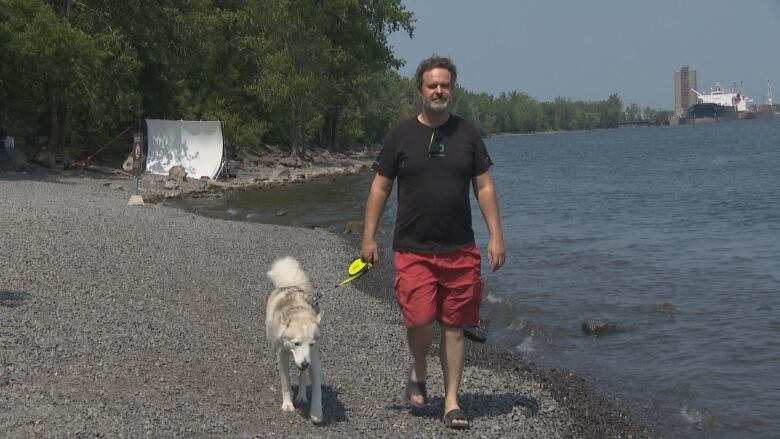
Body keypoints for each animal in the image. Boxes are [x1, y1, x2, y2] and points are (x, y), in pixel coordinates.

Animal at [264, 258, 322, 422]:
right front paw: (287, 404)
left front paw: (317, 412)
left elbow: (317, 387)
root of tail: (291, 284)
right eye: (296, 343)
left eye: (311, 344)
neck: (298, 312)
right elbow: (286, 381)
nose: (304, 363)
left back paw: (301, 395)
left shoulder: (313, 357)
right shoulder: (281, 356)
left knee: (302, 376)